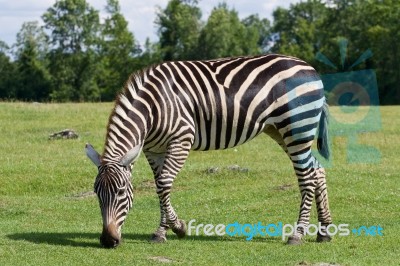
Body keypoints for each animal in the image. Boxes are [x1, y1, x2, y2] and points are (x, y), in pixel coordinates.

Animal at [86, 53, 332, 247]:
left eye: (120, 192)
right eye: (97, 193)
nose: (108, 241)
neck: (152, 108)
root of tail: (310, 67)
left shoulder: (181, 140)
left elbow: (164, 184)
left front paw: (175, 228)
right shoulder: (153, 149)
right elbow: (159, 185)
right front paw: (165, 230)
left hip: (298, 128)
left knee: (306, 177)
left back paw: (297, 235)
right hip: (281, 130)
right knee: (317, 170)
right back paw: (325, 232)